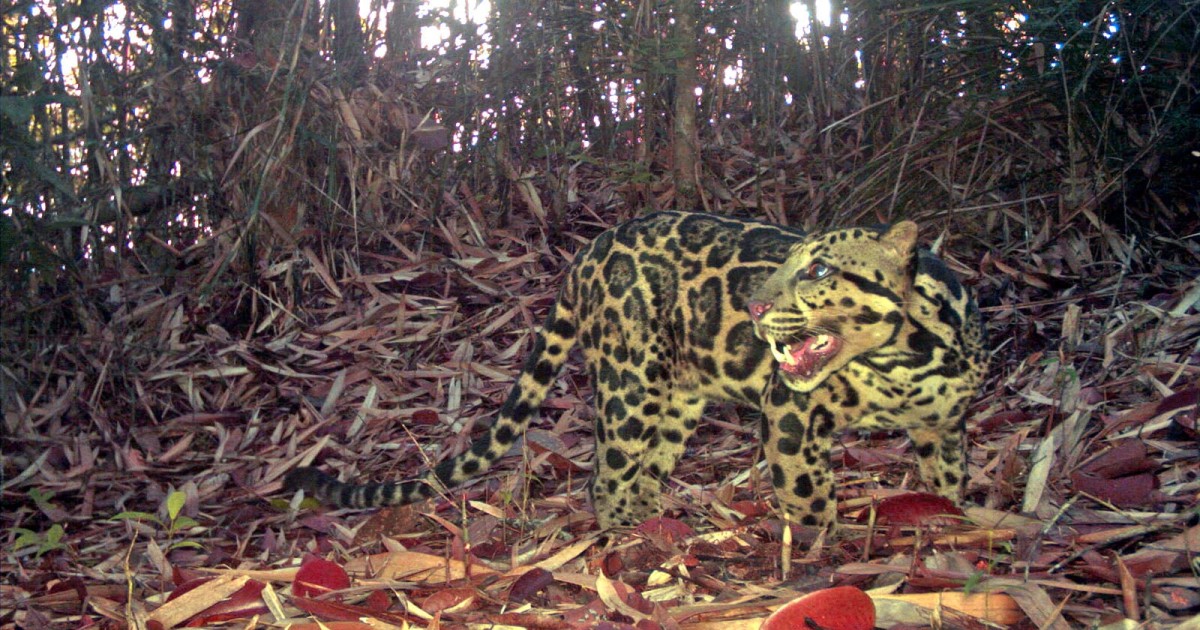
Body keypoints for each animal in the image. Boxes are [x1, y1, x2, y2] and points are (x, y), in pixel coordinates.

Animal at [285, 211, 987, 530]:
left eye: (817, 270)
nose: (756, 307)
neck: (904, 360)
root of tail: (586, 254)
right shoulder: (790, 411)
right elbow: (807, 492)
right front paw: (822, 551)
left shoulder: (945, 425)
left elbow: (949, 481)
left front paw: (951, 522)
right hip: (630, 382)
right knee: (606, 476)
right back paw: (624, 535)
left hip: (675, 397)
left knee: (648, 465)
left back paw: (658, 523)